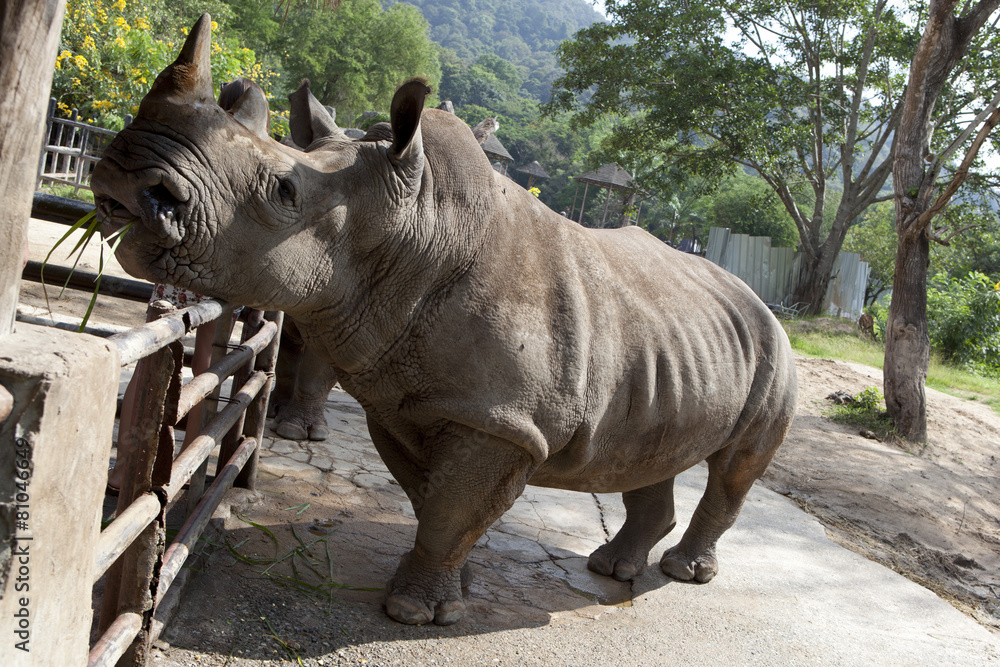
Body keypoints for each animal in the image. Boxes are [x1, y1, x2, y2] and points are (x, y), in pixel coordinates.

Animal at [92, 16, 797, 626]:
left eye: (282, 193)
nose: (127, 178)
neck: (416, 226)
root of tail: (761, 301)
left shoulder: (498, 420)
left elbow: (450, 510)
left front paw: (413, 614)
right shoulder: (406, 399)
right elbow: (432, 499)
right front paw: (455, 586)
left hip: (773, 350)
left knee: (735, 466)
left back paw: (682, 574)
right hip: (676, 343)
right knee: (651, 453)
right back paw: (613, 570)